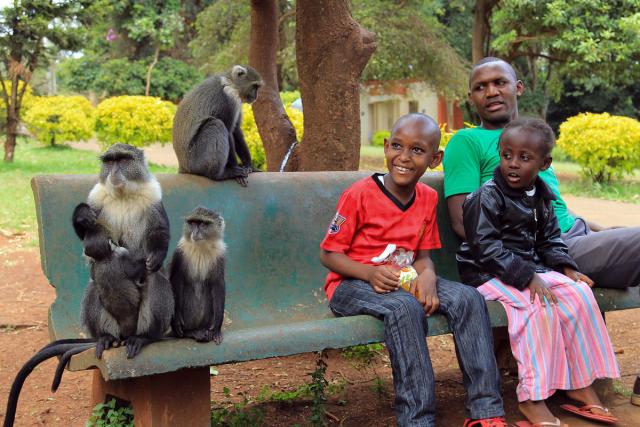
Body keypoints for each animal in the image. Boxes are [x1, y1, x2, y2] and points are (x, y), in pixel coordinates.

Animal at [170, 207, 228, 344]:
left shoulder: (219, 255)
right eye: (192, 223)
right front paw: (177, 320)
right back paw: (191, 332)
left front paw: (217, 328)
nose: (195, 232)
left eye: (201, 224)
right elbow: (177, 280)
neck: (201, 247)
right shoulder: (180, 252)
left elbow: (218, 285)